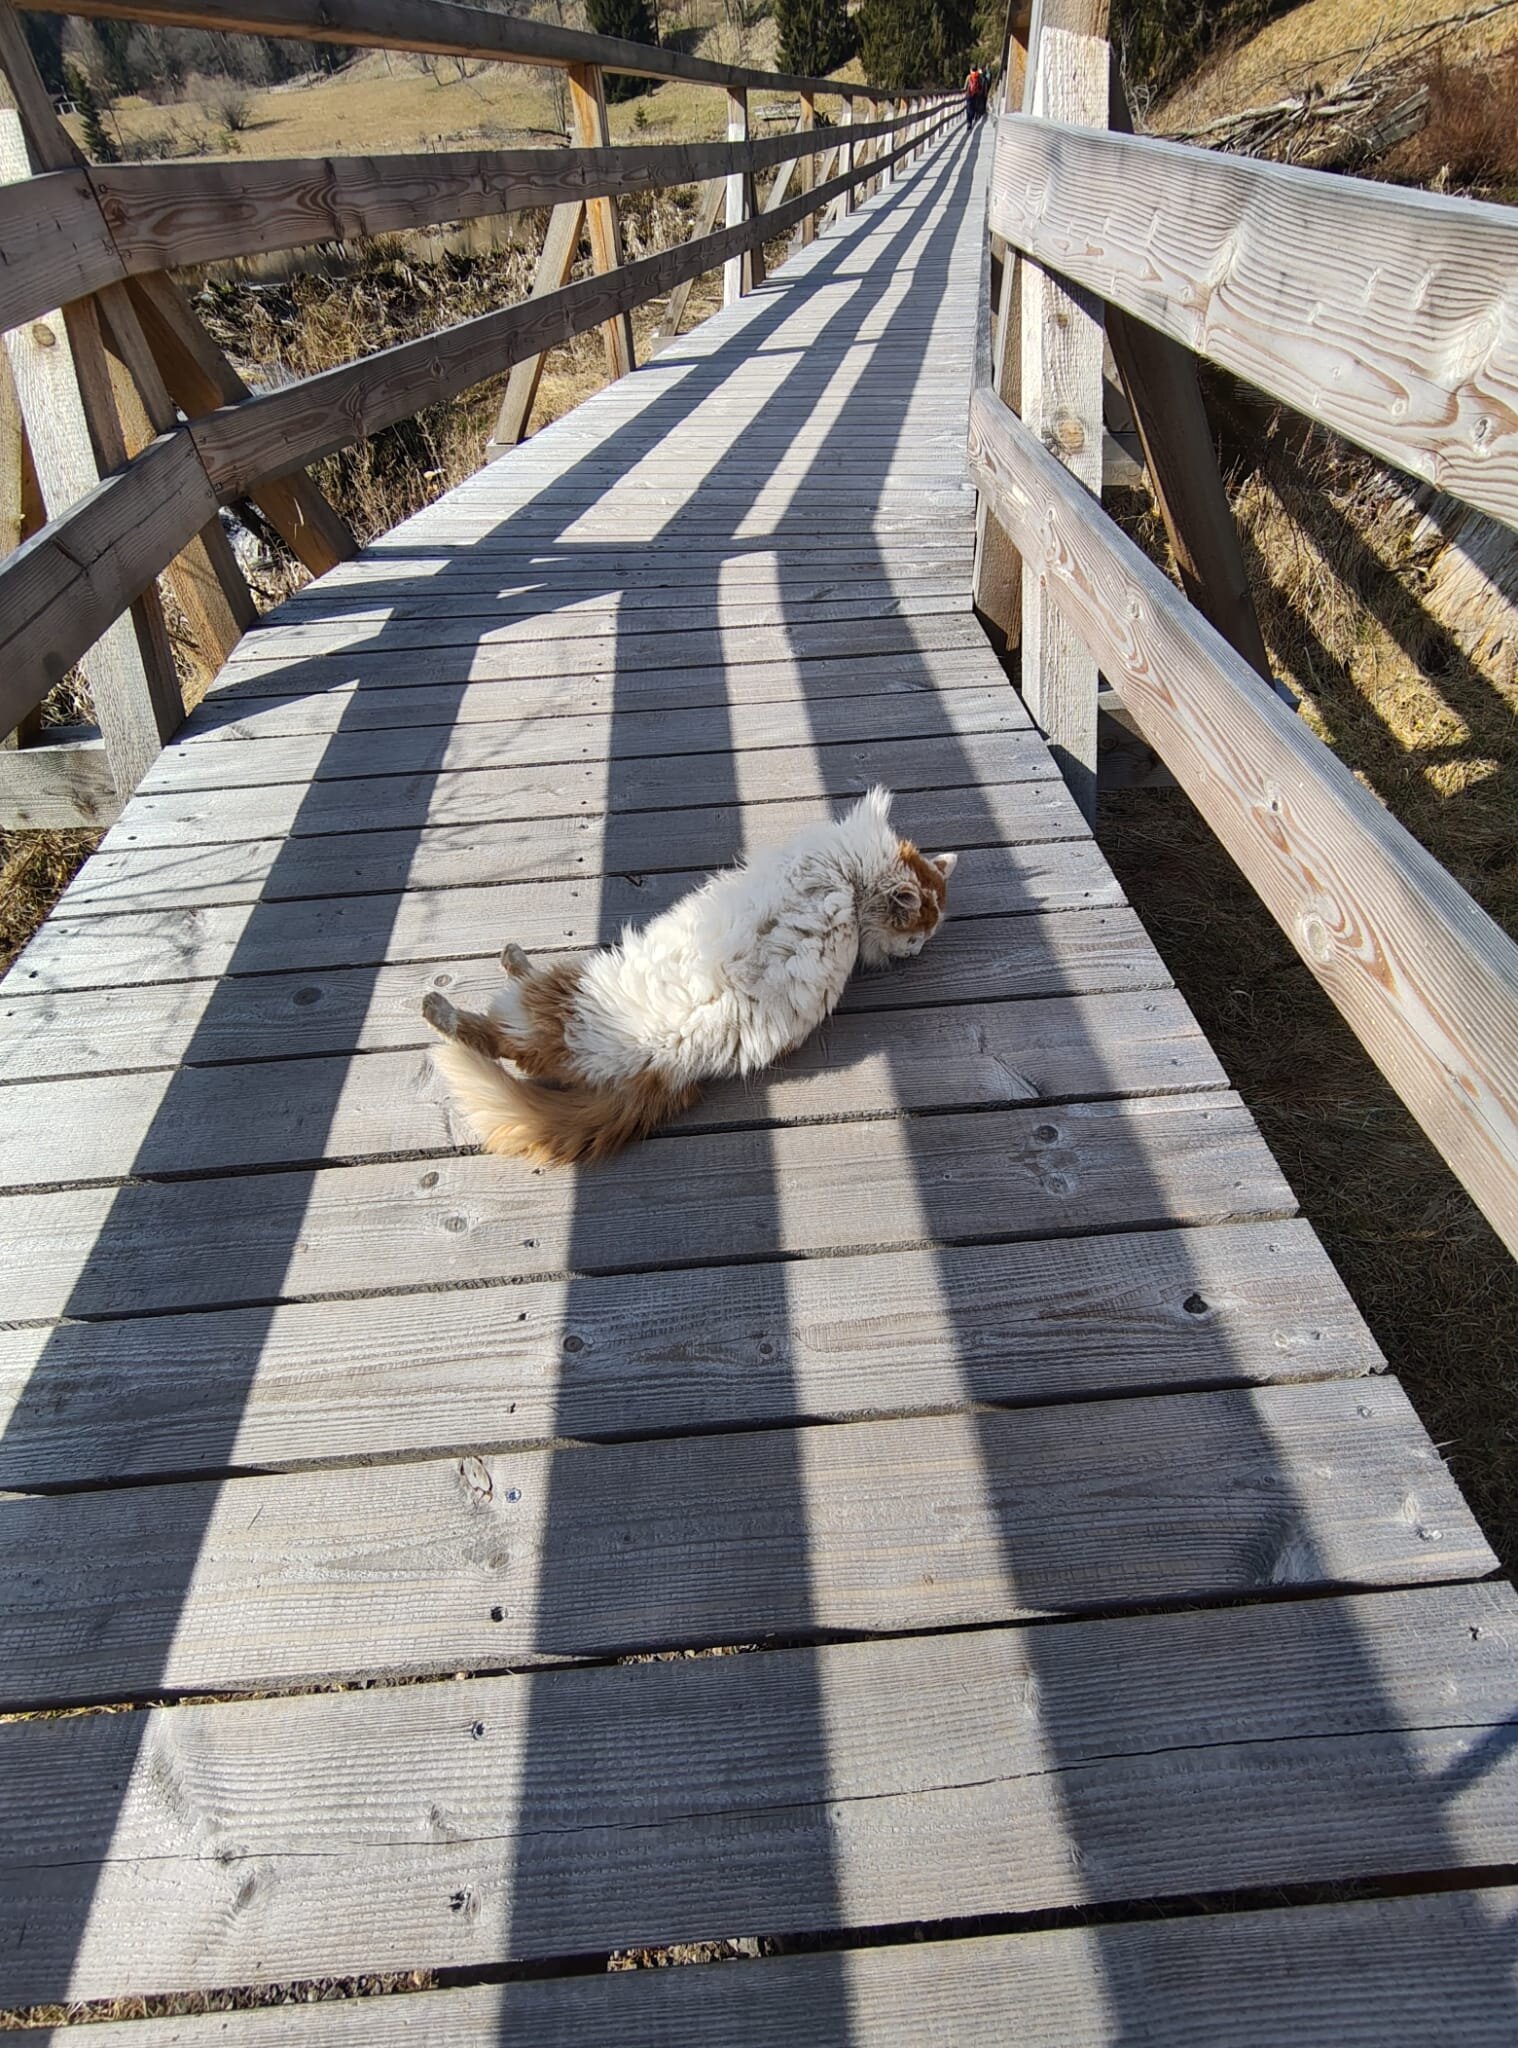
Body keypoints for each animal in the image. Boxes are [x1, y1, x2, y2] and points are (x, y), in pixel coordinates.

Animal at [421, 786, 957, 1168]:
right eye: (918, 936)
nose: (916, 952)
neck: (849, 882)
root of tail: (658, 1067)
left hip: (563, 998)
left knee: (500, 1037)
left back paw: (454, 999)